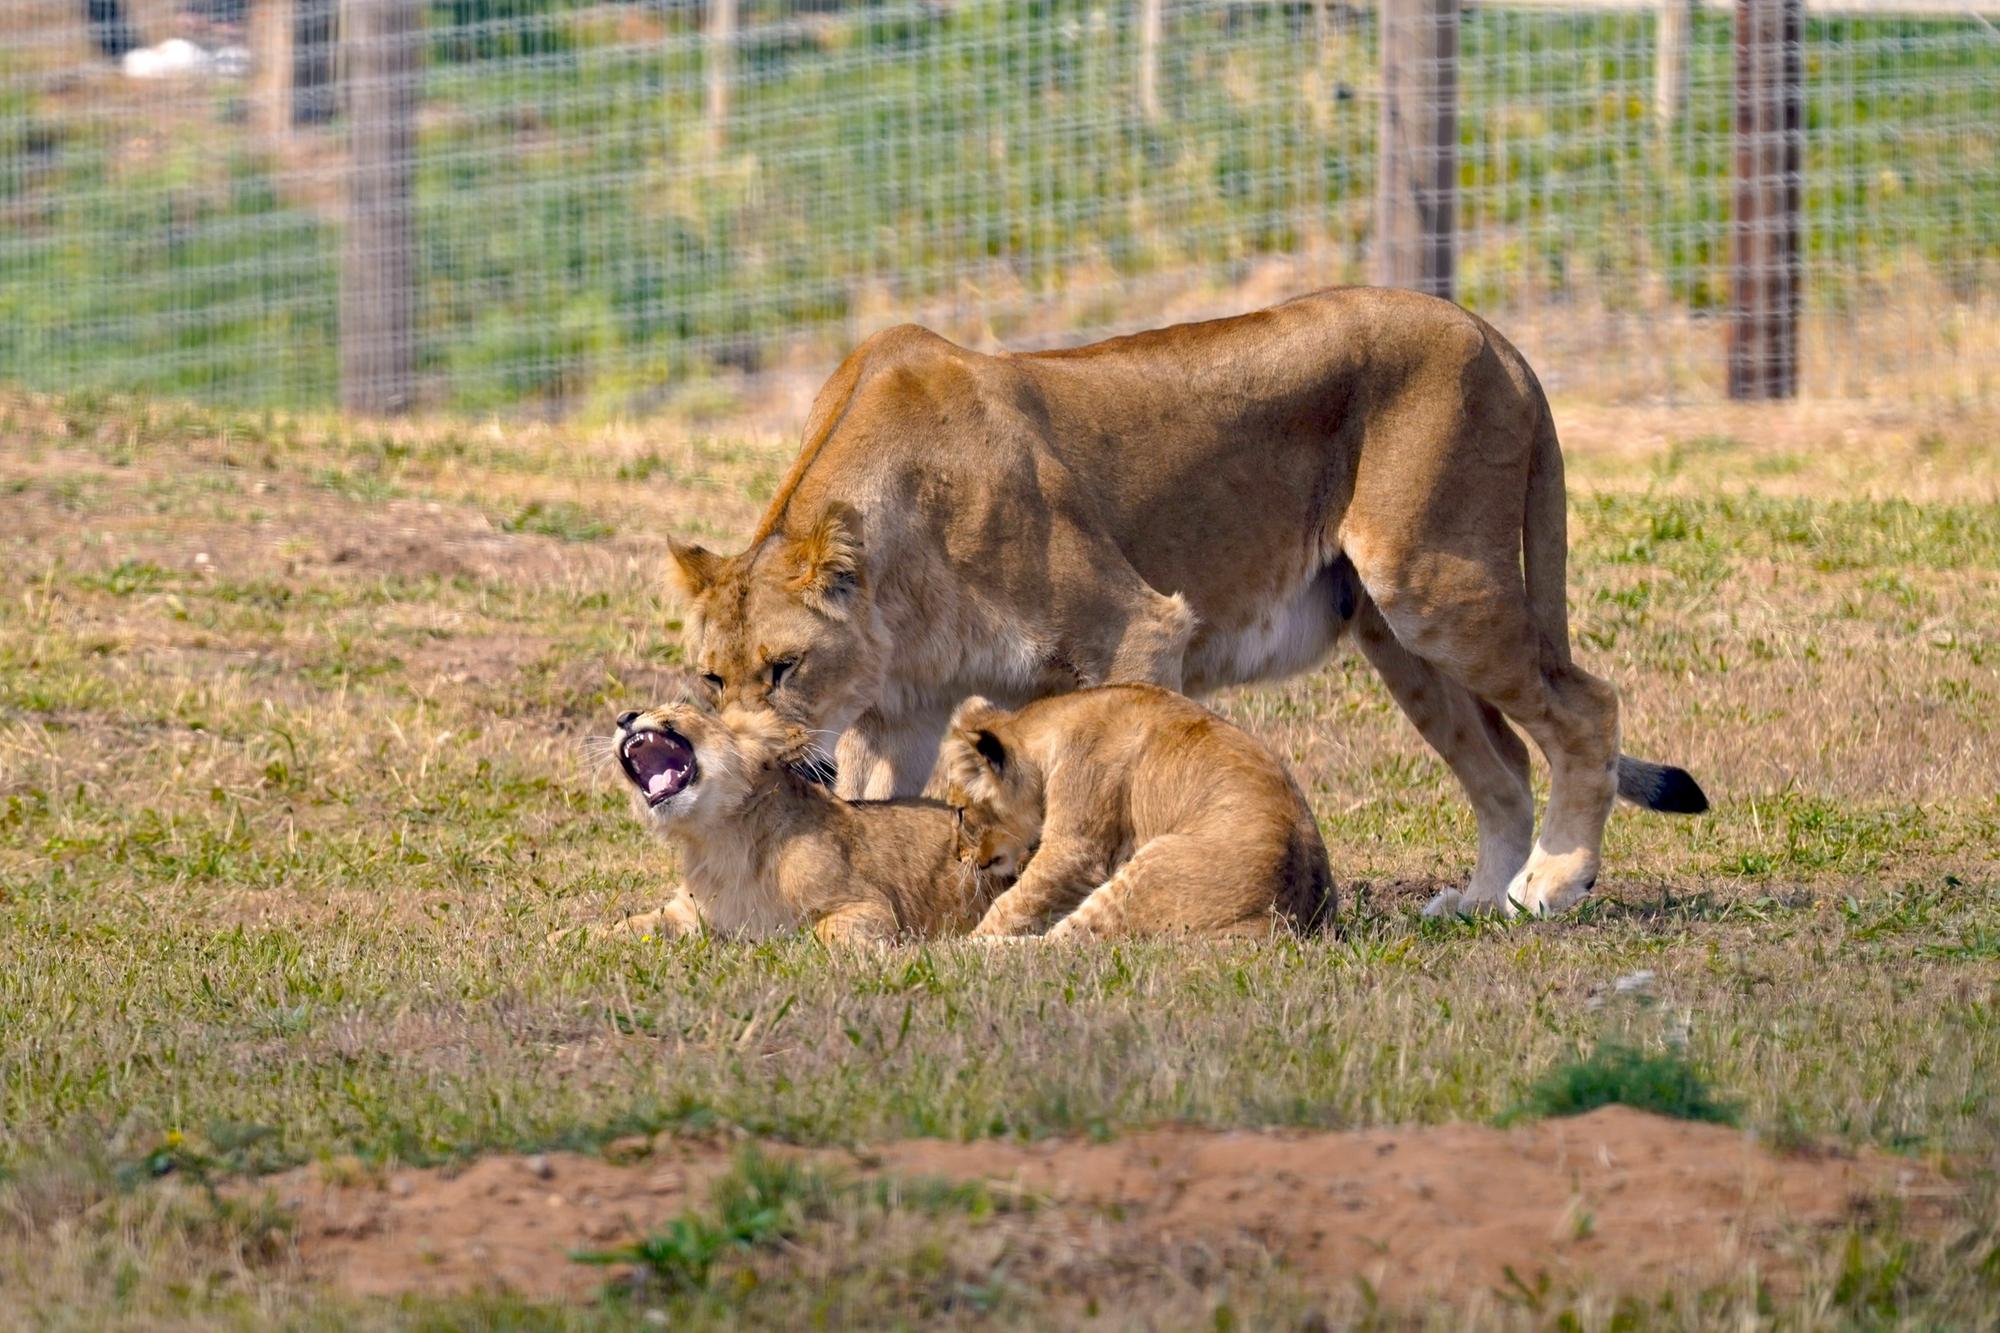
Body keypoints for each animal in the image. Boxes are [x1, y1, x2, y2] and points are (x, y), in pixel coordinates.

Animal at [598, 701, 1024, 946]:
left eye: (676, 707)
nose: (623, 718)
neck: (719, 842)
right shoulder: (684, 914)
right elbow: (625, 926)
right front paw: (582, 941)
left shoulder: (872, 906)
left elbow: (822, 933)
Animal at [937, 685, 1335, 940]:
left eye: (960, 812)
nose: (958, 856)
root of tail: (1286, 921)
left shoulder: (1077, 850)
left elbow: (1015, 901)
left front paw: (972, 940)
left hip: (1144, 870)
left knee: (1065, 944)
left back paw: (962, 950)